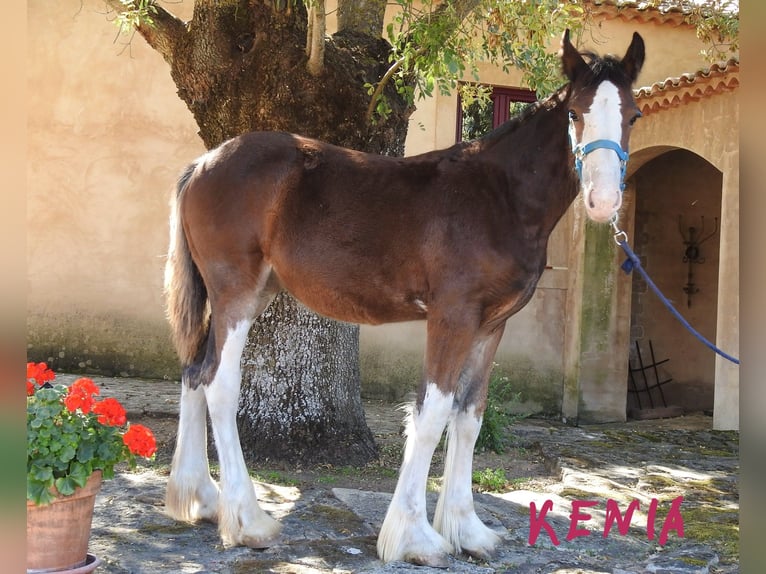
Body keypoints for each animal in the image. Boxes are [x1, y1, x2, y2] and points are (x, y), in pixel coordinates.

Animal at [164, 29, 648, 568]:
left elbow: (469, 416)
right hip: (236, 291)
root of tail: (203, 163)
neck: (499, 196)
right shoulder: (452, 318)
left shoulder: (491, 325)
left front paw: (467, 530)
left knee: (193, 371)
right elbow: (432, 415)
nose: (603, 202)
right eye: (576, 112)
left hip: (248, 294)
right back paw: (248, 521)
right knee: (219, 383)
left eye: (633, 115)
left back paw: (201, 499)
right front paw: (415, 538)